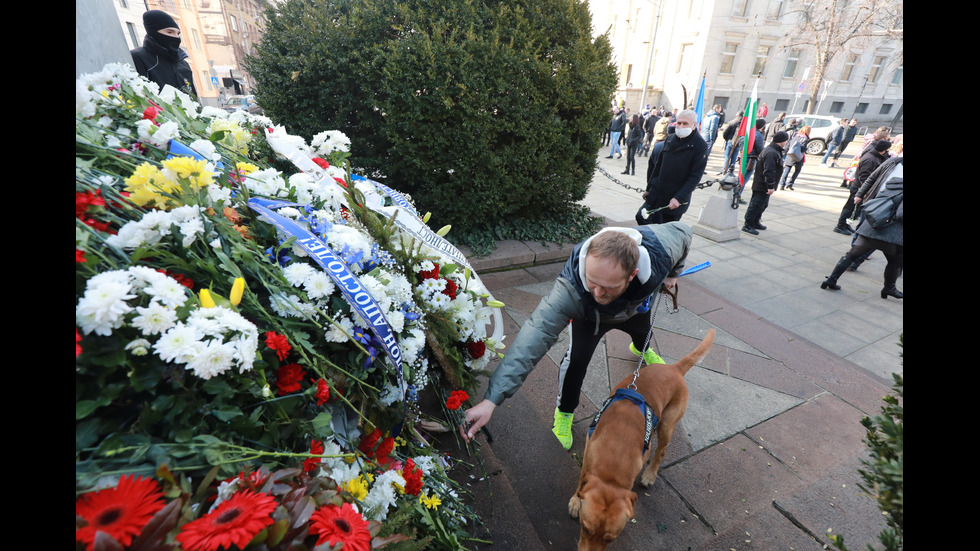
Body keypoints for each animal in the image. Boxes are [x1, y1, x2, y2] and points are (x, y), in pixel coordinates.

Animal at [568, 330, 712, 548]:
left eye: (610, 539)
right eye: (585, 529)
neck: (616, 454)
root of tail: (674, 368)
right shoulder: (588, 448)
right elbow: (581, 478)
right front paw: (576, 500)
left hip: (667, 424)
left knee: (661, 451)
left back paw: (650, 475)